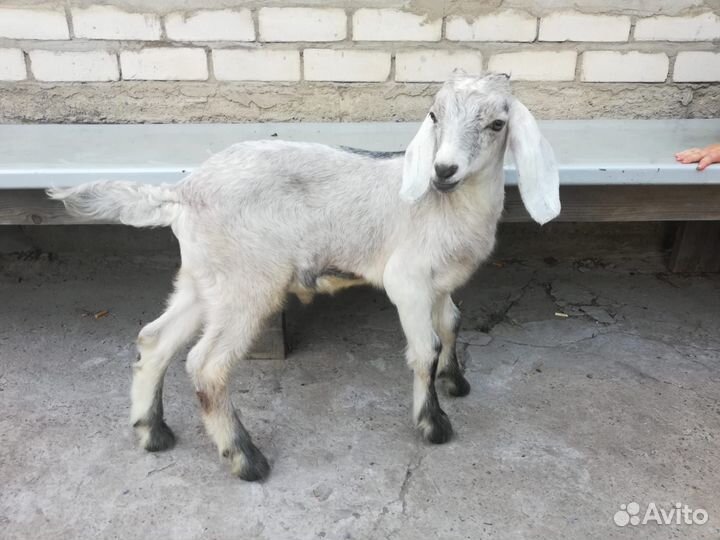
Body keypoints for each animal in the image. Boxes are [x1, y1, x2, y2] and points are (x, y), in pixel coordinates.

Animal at [48, 73, 560, 481]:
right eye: (434, 116)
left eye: (497, 124)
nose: (443, 170)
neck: (447, 206)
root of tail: (182, 191)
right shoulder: (409, 280)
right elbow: (425, 350)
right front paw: (434, 425)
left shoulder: (441, 283)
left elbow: (452, 324)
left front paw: (456, 383)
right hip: (248, 282)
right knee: (206, 365)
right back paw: (246, 459)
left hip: (205, 278)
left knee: (155, 340)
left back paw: (152, 433)